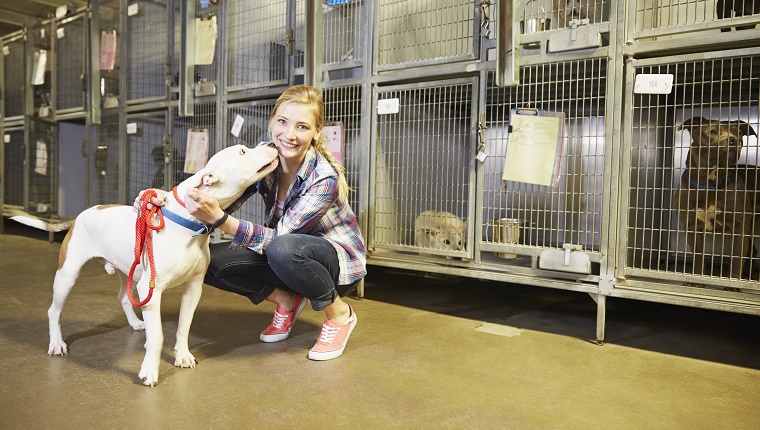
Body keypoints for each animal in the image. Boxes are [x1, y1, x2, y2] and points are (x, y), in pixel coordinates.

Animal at [11, 143, 280, 384]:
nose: (272, 143)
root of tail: (79, 216)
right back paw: (57, 343)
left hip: (128, 272)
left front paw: (182, 355)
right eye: (243, 151)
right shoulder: (152, 290)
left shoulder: (193, 288)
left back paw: (134, 322)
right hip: (67, 276)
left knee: (122, 296)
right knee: (53, 311)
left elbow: (184, 326)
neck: (189, 225)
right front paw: (149, 370)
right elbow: (158, 336)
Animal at [672, 116, 756, 288]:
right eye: (713, 131)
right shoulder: (692, 226)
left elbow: (737, 258)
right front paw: (697, 281)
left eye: (739, 133)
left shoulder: (740, 227)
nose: (733, 139)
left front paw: (733, 286)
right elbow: (698, 256)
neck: (710, 185)